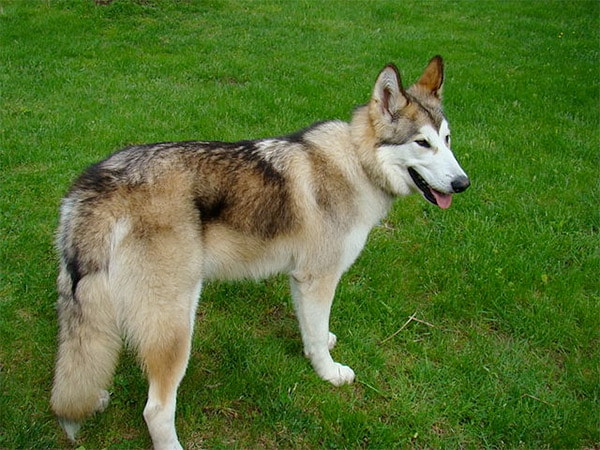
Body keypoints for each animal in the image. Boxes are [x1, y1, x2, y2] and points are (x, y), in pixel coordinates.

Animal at [51, 57, 468, 450]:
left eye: (447, 139)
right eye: (422, 143)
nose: (463, 183)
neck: (356, 163)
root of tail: (95, 183)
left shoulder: (300, 278)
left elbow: (312, 331)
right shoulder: (319, 278)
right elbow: (318, 338)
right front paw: (330, 374)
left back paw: (96, 397)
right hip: (176, 323)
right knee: (155, 409)